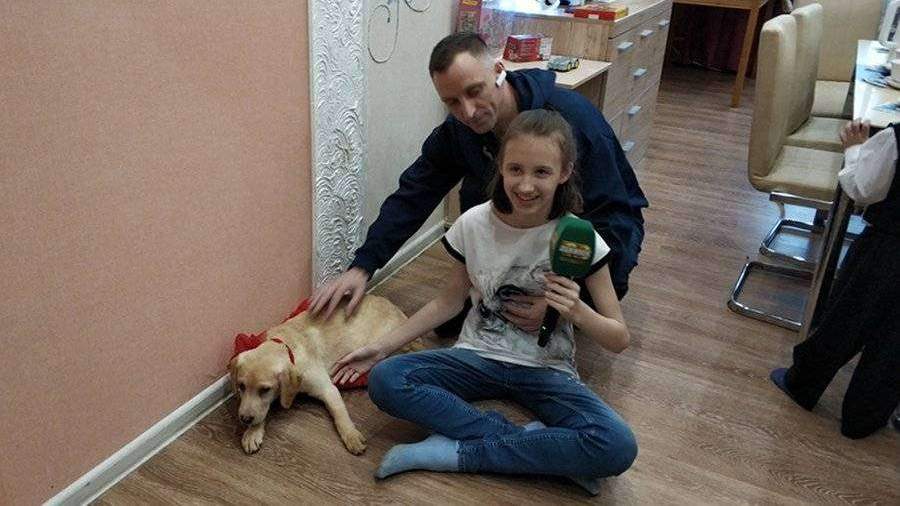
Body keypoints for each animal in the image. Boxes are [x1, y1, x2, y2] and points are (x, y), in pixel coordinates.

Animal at [228, 295, 407, 455]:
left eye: (265, 389)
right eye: (241, 386)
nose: (244, 419)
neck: (286, 345)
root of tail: (395, 308)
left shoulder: (328, 389)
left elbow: (339, 414)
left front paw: (351, 435)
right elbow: (259, 410)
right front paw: (252, 432)